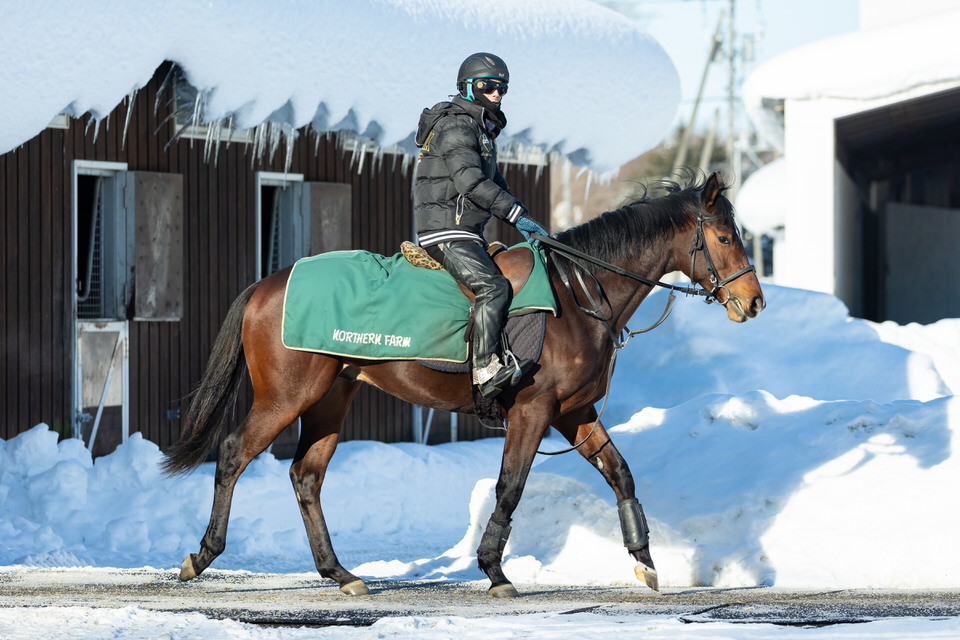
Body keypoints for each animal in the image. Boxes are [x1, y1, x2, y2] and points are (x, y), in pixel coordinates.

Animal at [163, 171, 764, 600]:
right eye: (724, 236)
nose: (754, 301)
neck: (578, 293)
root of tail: (268, 283)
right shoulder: (532, 412)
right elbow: (510, 487)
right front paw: (495, 571)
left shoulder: (575, 414)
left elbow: (621, 474)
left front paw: (644, 561)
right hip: (287, 397)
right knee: (233, 454)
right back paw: (202, 556)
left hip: (331, 399)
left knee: (306, 477)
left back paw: (340, 573)